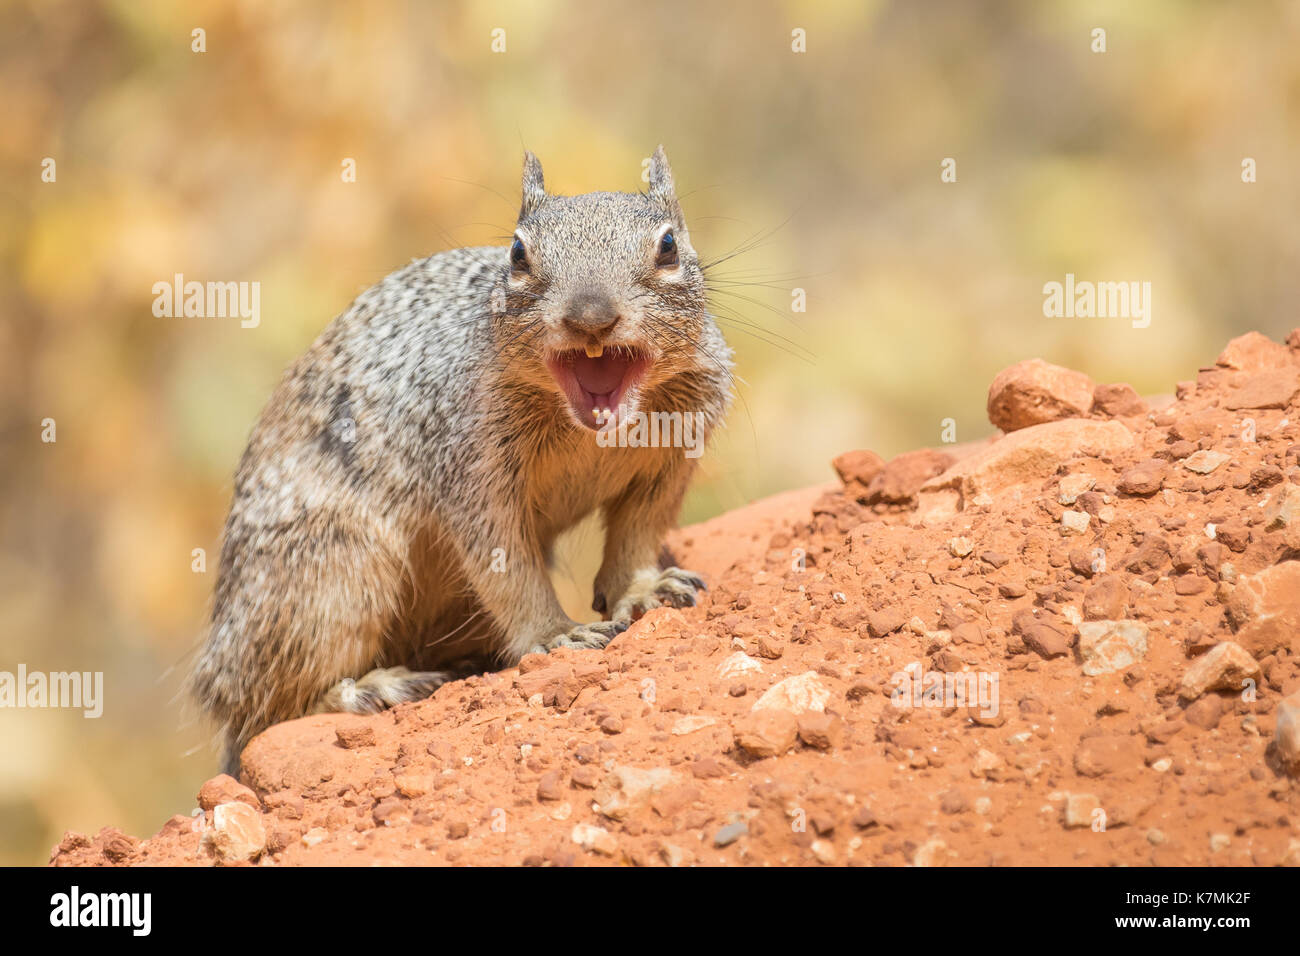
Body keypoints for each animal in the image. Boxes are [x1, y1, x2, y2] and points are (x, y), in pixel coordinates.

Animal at [187, 149, 733, 780]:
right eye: (518, 254)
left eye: (668, 246)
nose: (591, 317)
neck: (588, 430)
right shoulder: (472, 470)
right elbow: (505, 565)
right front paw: (556, 635)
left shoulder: (669, 462)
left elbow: (637, 535)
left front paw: (647, 589)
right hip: (335, 577)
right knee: (272, 708)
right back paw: (373, 688)